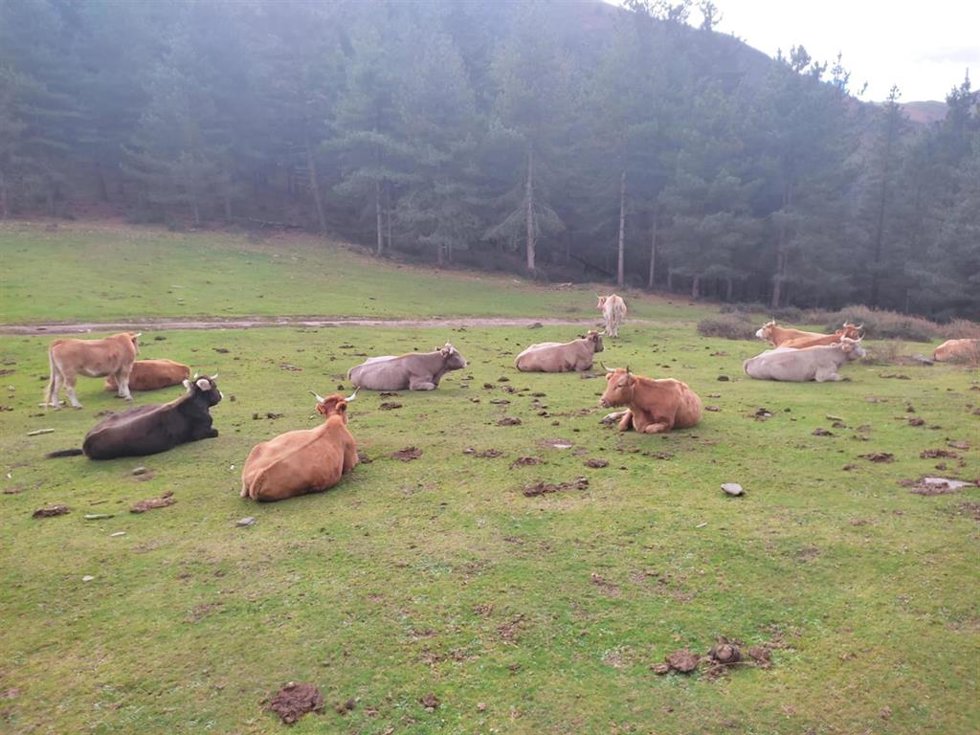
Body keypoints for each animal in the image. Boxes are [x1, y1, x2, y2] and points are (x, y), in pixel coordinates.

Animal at [46, 375, 222, 460]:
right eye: (214, 386)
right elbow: (215, 431)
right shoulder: (200, 433)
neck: (194, 402)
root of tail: (85, 443)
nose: (221, 395)